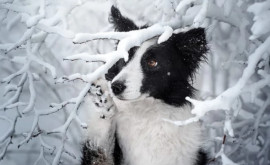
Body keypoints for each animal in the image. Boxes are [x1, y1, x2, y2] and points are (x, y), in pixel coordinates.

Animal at [81, 5, 208, 164]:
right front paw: (102, 101)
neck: (146, 113)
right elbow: (100, 148)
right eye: (125, 57)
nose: (115, 87)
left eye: (152, 62)